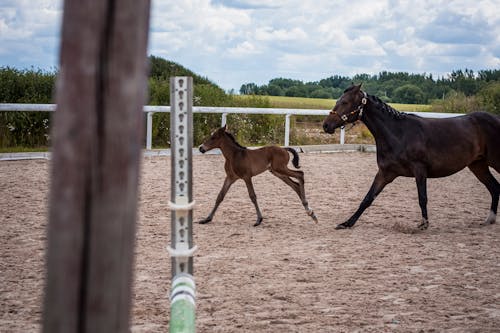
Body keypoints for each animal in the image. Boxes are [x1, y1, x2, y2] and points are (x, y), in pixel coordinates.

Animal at [322, 83, 498, 230]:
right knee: (495, 187)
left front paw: (424, 224)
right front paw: (347, 223)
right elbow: (368, 198)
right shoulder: (385, 173)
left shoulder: (419, 170)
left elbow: (422, 197)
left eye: (345, 102)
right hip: (478, 165)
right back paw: (489, 220)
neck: (398, 134)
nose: (326, 125)